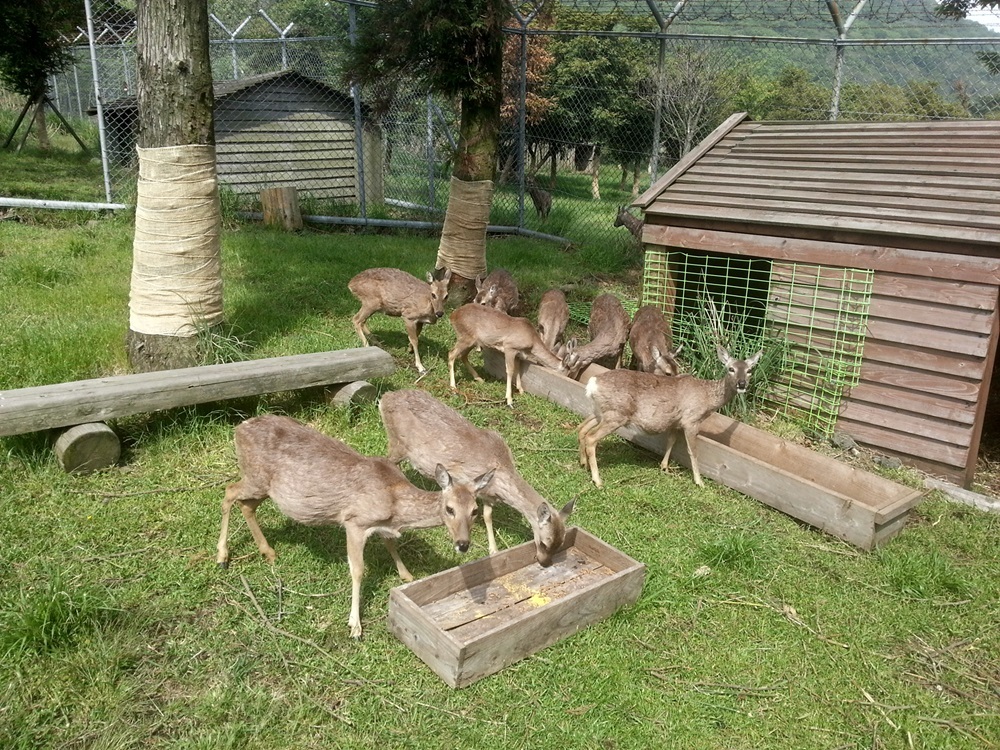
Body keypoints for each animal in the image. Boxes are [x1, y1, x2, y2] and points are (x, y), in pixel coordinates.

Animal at [216, 414, 492, 636]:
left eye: (475, 511)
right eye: (449, 509)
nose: (463, 544)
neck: (394, 502)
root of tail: (239, 428)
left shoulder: (381, 525)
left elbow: (391, 543)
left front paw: (406, 575)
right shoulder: (355, 521)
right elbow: (358, 570)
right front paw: (355, 625)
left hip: (263, 485)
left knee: (246, 505)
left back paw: (268, 552)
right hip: (255, 477)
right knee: (229, 492)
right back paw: (222, 556)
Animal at [378, 390, 576, 568]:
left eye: (560, 543)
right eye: (544, 542)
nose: (545, 563)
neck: (501, 469)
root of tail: (385, 398)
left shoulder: (488, 494)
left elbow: (488, 516)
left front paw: (493, 549)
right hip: (397, 442)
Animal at [576, 346, 760, 488]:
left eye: (749, 370)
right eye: (731, 369)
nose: (742, 384)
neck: (707, 398)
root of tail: (592, 383)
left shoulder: (675, 422)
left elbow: (671, 441)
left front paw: (664, 466)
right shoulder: (691, 420)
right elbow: (693, 451)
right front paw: (699, 481)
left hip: (601, 412)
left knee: (582, 429)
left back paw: (584, 463)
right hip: (616, 415)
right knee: (591, 437)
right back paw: (598, 480)